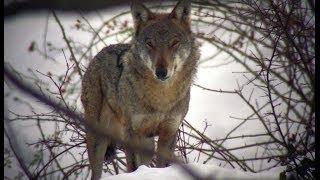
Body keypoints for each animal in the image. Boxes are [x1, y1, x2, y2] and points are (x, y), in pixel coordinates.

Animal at [80, 0, 200, 179]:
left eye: (174, 43)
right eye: (150, 44)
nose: (161, 72)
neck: (161, 97)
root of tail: (99, 53)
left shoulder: (169, 132)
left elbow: (162, 165)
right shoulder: (132, 133)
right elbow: (134, 167)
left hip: (147, 143)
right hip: (99, 138)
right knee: (96, 173)